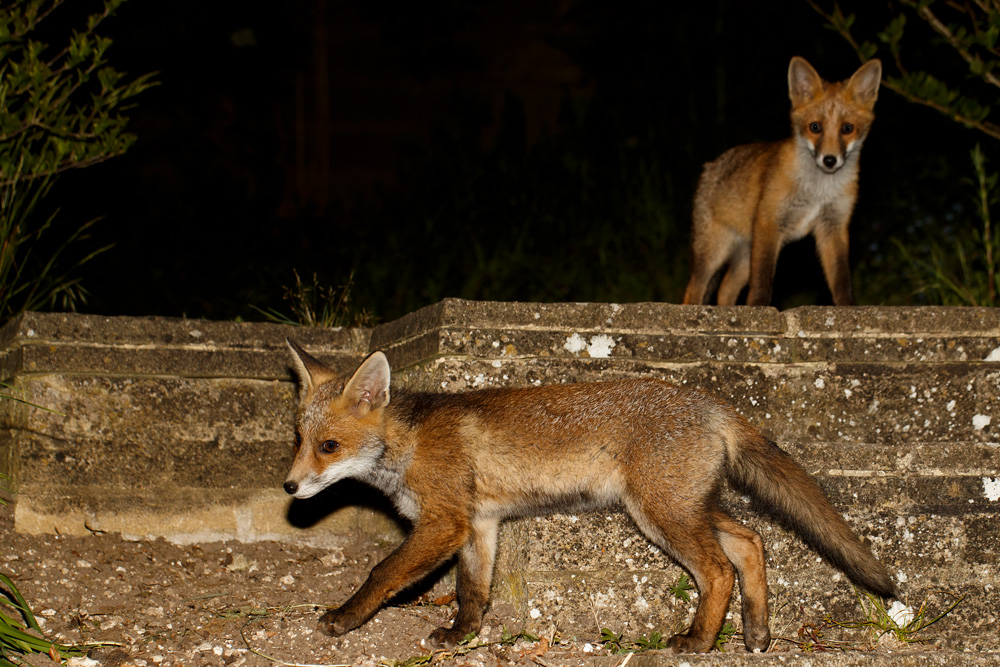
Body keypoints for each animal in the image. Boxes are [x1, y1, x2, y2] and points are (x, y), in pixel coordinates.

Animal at [282, 339, 896, 653]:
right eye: (299, 440)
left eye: (329, 446)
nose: (288, 487)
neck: (408, 445)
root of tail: (710, 402)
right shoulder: (478, 526)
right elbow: (472, 591)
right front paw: (461, 636)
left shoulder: (444, 524)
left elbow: (383, 573)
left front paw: (344, 618)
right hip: (687, 506)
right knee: (750, 541)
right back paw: (757, 633)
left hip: (660, 514)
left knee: (719, 570)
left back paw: (698, 641)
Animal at [682, 56, 882, 307]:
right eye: (815, 127)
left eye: (847, 128)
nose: (829, 160)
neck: (818, 190)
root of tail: (710, 165)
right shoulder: (770, 221)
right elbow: (763, 280)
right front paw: (759, 308)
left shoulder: (833, 226)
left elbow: (841, 280)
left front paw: (847, 308)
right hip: (714, 250)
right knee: (694, 289)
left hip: (745, 254)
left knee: (725, 289)